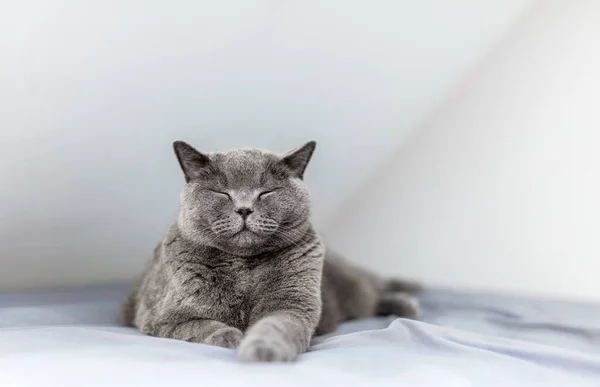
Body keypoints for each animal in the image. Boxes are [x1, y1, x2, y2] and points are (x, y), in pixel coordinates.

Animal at [120, 140, 422, 364]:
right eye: (222, 193)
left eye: (267, 192)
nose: (244, 209)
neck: (242, 266)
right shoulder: (163, 318)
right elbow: (203, 327)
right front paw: (233, 337)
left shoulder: (292, 304)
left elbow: (274, 326)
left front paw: (261, 350)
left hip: (352, 286)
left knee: (373, 288)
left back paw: (410, 297)